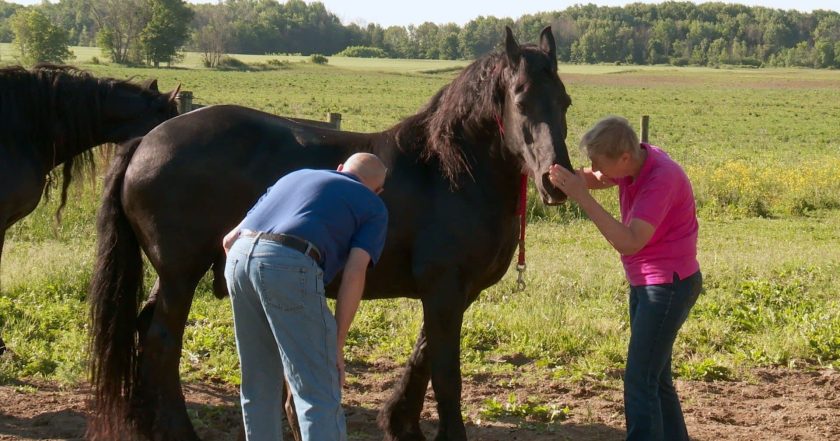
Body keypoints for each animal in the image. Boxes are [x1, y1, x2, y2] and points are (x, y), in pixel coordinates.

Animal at [92, 27, 576, 440]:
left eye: (565, 101)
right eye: (520, 100)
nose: (555, 181)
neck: (448, 171)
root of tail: (147, 140)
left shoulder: (453, 293)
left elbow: (422, 356)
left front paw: (400, 424)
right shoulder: (444, 288)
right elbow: (445, 374)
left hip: (171, 276)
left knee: (145, 331)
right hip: (181, 274)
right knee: (161, 342)